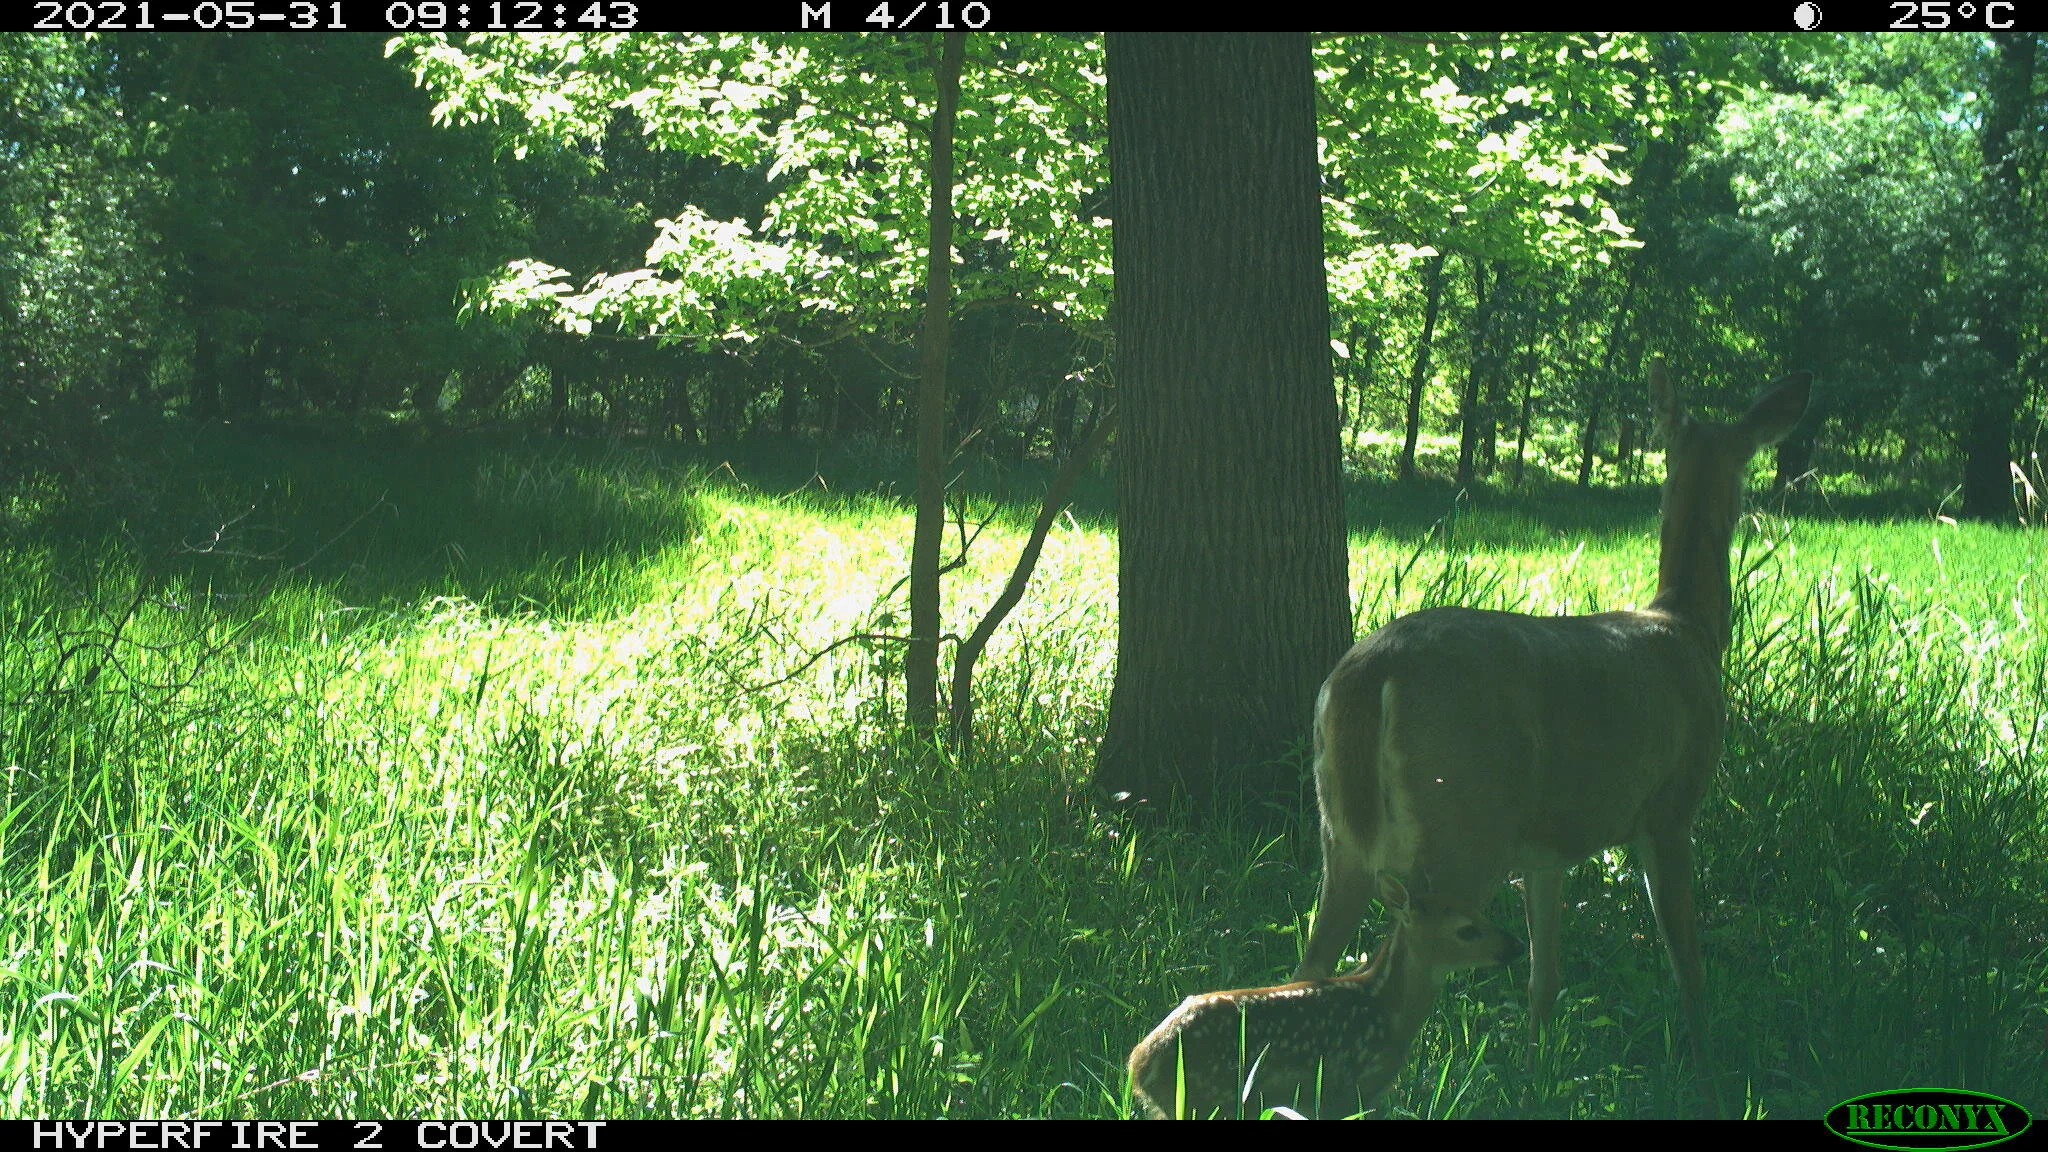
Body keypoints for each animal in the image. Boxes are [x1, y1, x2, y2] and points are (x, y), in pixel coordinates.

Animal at [1129, 875, 1518, 1118]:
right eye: (1466, 930)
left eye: (1481, 912)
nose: (1513, 945)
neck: (1388, 1009)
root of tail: (1140, 1062)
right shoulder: (1346, 1087)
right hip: (1206, 1096)